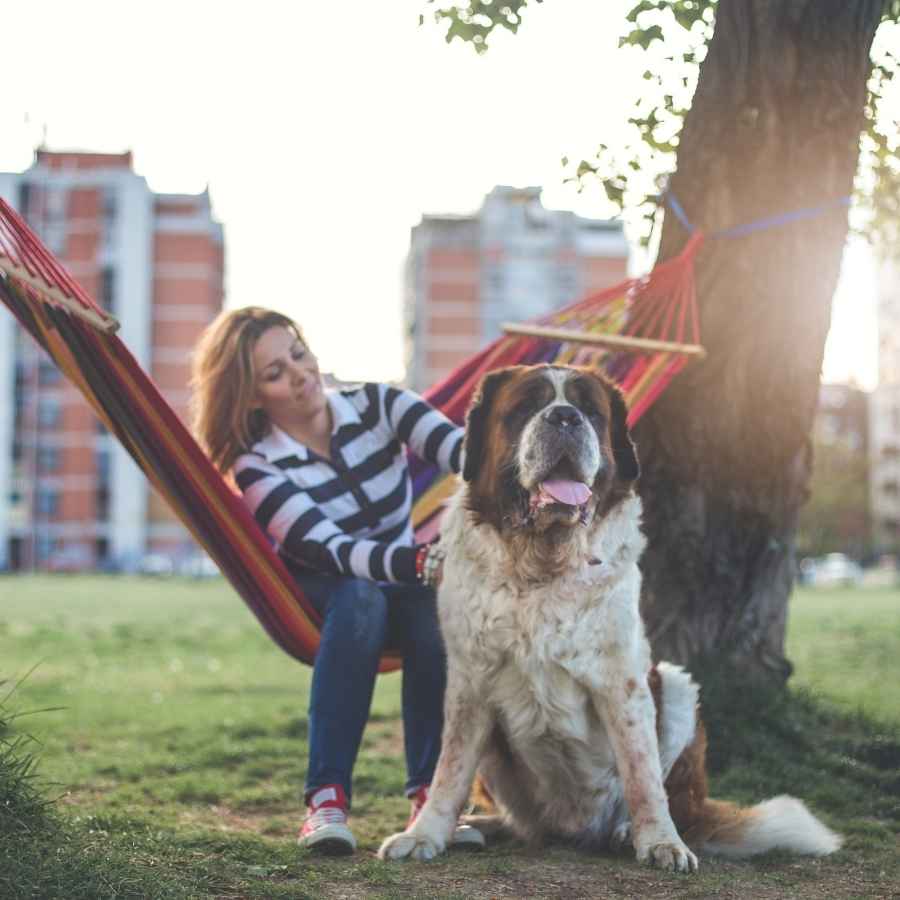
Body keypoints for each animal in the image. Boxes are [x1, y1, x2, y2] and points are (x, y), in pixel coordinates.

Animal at [376, 360, 840, 872]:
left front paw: (660, 842)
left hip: (676, 687)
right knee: (516, 815)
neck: (541, 566)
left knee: (665, 790)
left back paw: (626, 832)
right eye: (525, 407)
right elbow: (450, 768)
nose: (564, 418)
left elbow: (642, 773)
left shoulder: (625, 682)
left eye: (592, 412)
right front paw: (425, 833)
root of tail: (572, 827)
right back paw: (482, 824)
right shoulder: (469, 682)